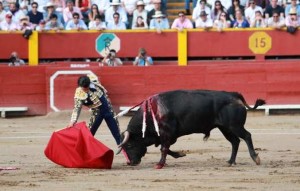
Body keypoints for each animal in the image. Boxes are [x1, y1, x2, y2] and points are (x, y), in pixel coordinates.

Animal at [118, 89, 266, 169]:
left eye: (129, 145)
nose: (131, 163)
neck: (151, 113)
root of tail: (234, 95)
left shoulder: (167, 133)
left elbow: (163, 148)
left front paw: (160, 164)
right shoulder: (165, 136)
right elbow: (165, 148)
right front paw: (180, 154)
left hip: (234, 126)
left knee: (247, 136)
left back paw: (255, 158)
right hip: (225, 128)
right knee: (235, 142)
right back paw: (230, 162)